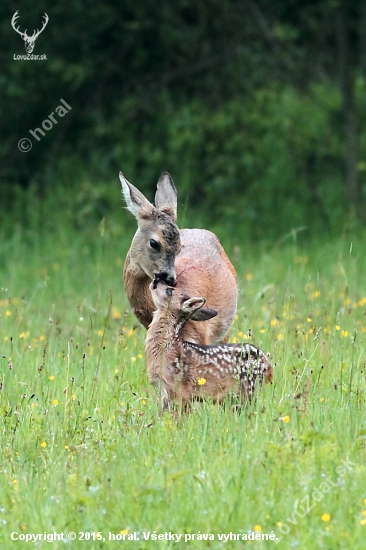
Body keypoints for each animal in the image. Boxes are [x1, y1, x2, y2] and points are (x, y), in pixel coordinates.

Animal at [144, 282, 274, 412]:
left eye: (169, 291)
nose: (155, 281)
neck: (166, 348)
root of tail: (268, 365)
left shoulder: (178, 389)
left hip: (248, 388)